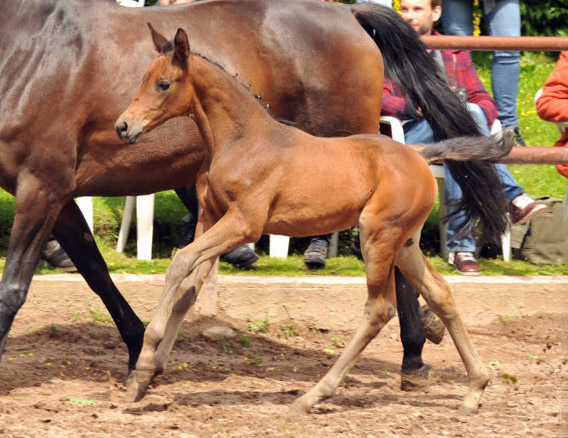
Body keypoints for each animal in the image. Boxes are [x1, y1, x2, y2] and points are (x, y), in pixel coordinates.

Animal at [115, 26, 516, 414]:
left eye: (163, 83)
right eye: (143, 79)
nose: (122, 126)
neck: (241, 140)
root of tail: (421, 156)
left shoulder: (244, 223)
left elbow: (179, 263)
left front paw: (144, 365)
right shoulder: (210, 218)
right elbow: (188, 290)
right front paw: (147, 377)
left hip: (377, 238)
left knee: (379, 308)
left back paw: (313, 396)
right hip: (405, 244)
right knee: (440, 294)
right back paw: (475, 389)